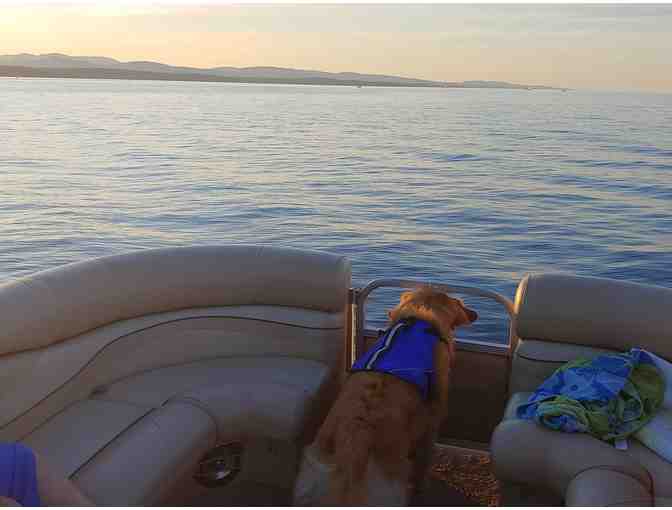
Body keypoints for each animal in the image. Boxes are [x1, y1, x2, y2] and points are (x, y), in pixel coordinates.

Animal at [294, 286, 478, 506]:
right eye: (460, 303)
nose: (474, 313)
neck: (418, 318)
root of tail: (354, 445)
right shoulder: (431, 423)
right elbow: (422, 467)